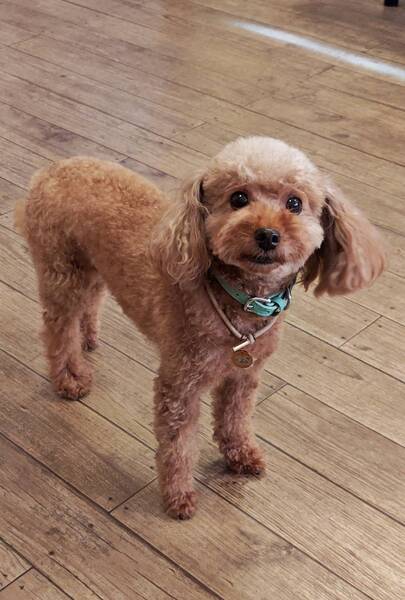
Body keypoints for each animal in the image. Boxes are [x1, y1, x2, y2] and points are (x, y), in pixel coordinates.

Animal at [17, 136, 385, 519]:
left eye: (295, 203)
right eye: (238, 198)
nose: (268, 235)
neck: (240, 297)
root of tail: (52, 169)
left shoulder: (243, 377)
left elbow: (235, 419)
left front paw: (241, 455)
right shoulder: (180, 385)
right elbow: (178, 446)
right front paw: (178, 497)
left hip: (89, 266)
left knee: (88, 303)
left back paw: (88, 338)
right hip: (60, 270)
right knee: (58, 330)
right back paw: (70, 378)